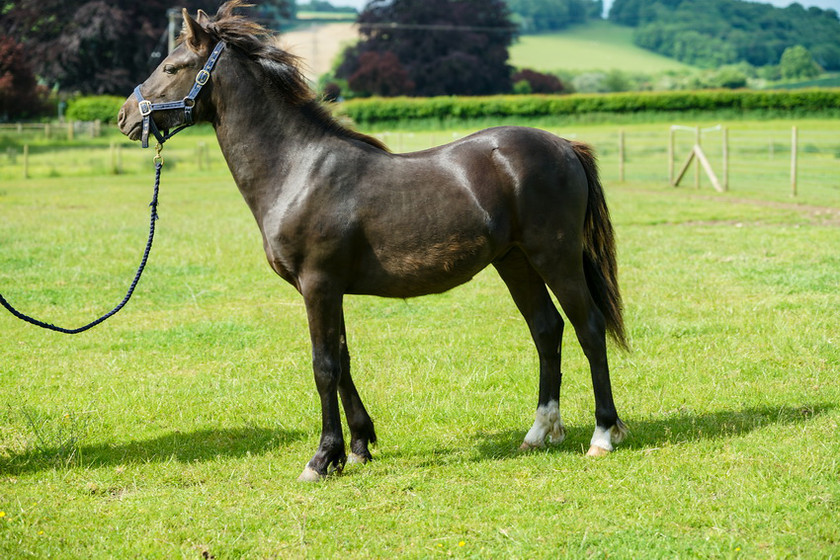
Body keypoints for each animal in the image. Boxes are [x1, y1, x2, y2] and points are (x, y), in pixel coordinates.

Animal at [118, 1, 632, 482]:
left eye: (171, 67)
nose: (124, 116)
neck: (297, 169)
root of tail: (564, 146)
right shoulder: (328, 289)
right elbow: (343, 360)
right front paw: (358, 447)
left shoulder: (319, 285)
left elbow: (324, 364)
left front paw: (322, 458)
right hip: (515, 261)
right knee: (546, 329)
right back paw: (539, 432)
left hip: (555, 257)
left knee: (588, 327)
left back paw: (602, 434)